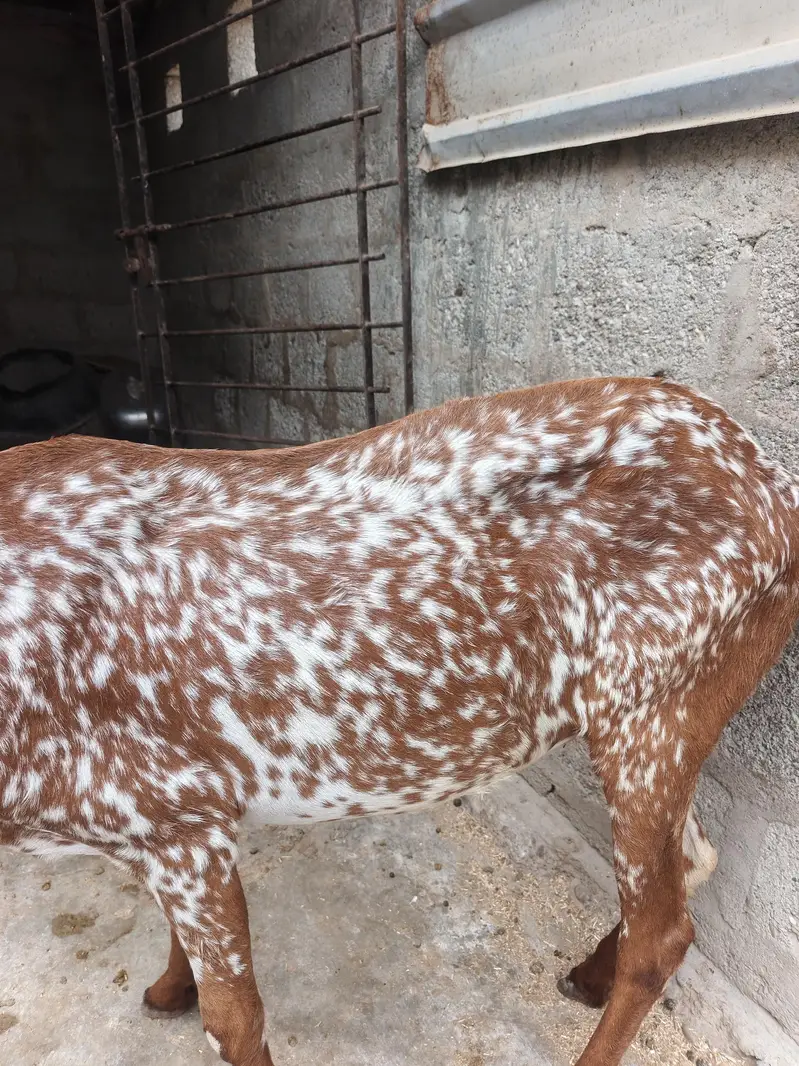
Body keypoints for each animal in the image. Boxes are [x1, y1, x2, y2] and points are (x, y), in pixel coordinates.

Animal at [1, 376, 797, 1066]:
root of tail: (774, 491)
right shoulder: (165, 818)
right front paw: (169, 990)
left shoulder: (177, 813)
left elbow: (235, 1020)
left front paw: (184, 995)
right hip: (676, 709)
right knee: (692, 862)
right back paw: (586, 975)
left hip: (647, 711)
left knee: (661, 933)